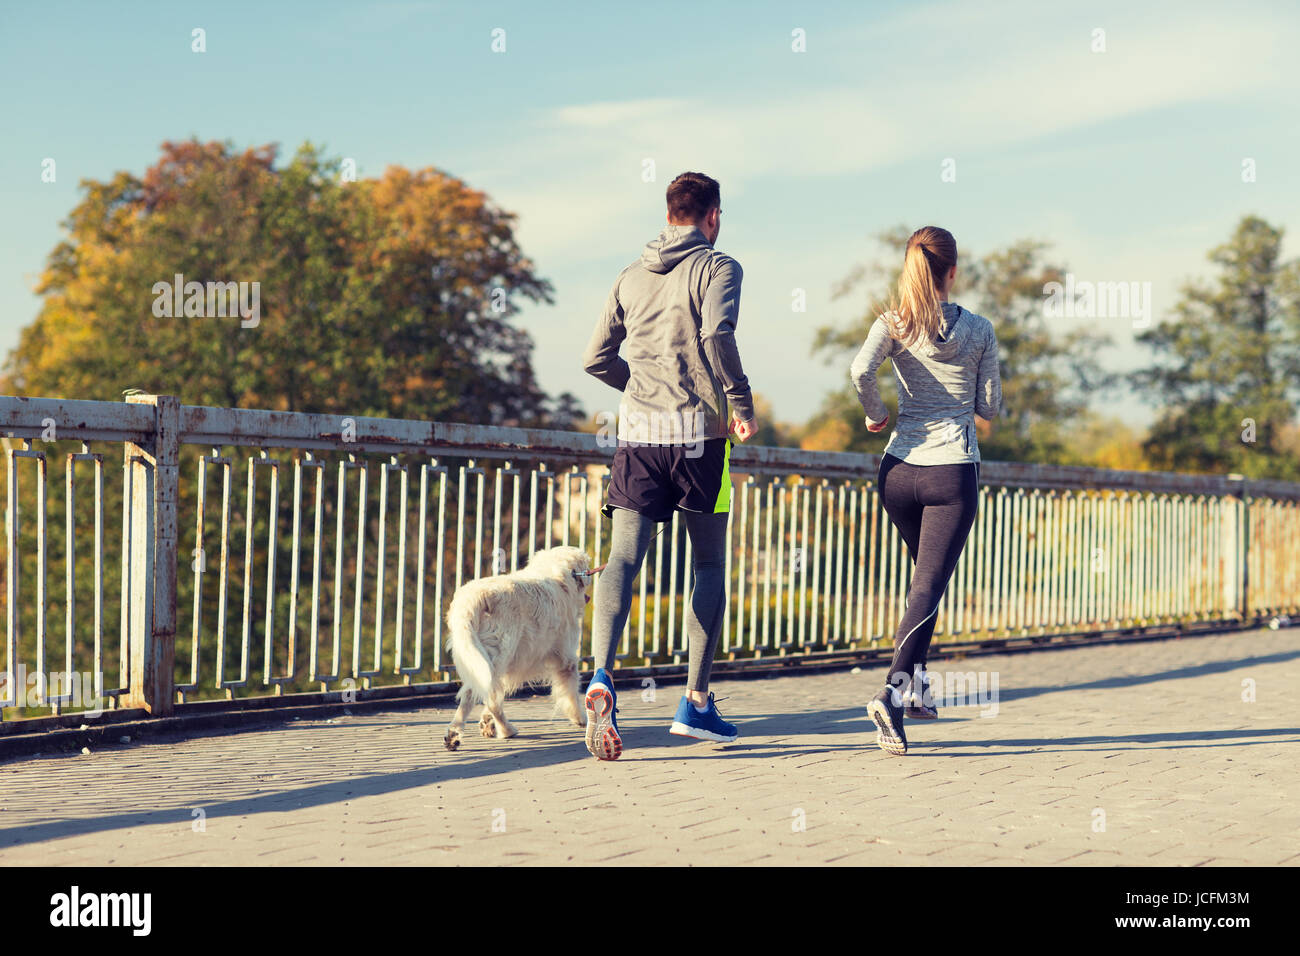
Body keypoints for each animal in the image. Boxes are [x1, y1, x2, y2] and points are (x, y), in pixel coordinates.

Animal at [444, 548, 600, 749]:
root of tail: (475, 598)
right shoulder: (566, 659)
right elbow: (571, 692)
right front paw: (580, 718)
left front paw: (486, 722)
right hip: (498, 654)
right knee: (492, 699)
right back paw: (507, 730)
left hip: (477, 658)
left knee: (473, 693)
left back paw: (454, 733)